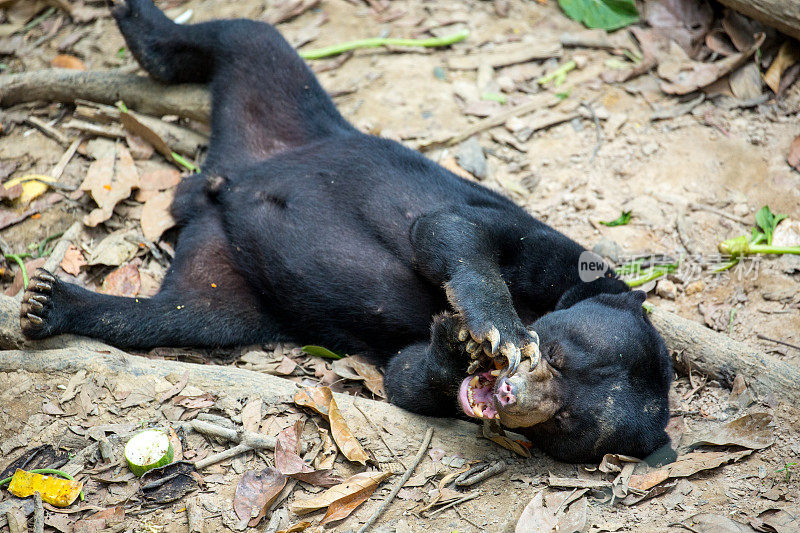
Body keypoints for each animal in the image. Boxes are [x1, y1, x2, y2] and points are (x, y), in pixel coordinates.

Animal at [20, 0, 668, 462]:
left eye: (564, 421)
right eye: (551, 355)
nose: (511, 395)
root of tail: (216, 186)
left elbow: (407, 376)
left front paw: (453, 347)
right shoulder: (552, 250)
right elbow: (448, 228)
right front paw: (495, 329)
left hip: (230, 284)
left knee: (176, 315)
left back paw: (52, 304)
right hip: (291, 116)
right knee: (248, 38)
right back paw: (137, 19)